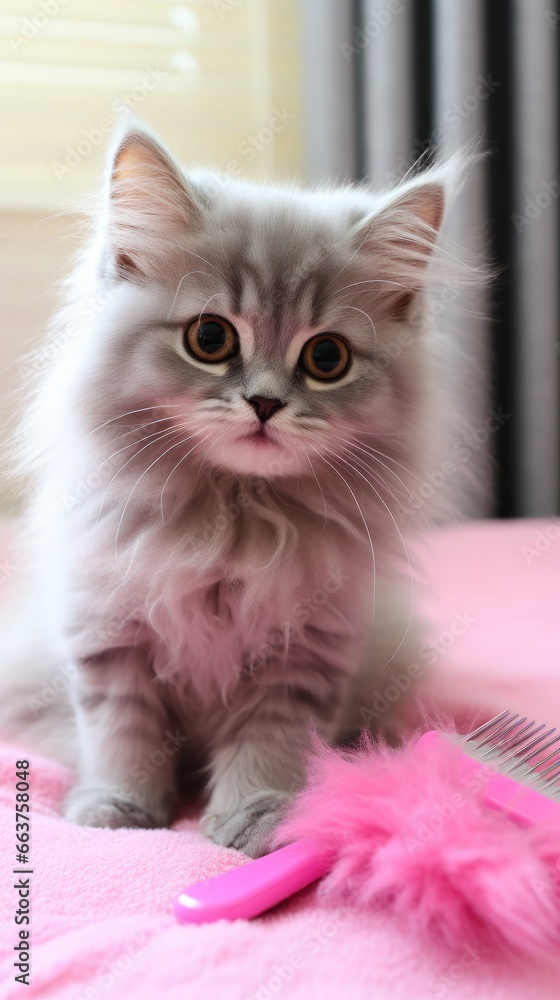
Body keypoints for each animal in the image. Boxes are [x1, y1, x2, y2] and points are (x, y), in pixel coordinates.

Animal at [1, 121, 468, 860]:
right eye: (210, 338)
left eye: (327, 358)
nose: (266, 404)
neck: (235, 517)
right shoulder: (108, 631)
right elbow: (123, 732)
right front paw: (119, 811)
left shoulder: (306, 650)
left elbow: (267, 742)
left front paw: (255, 819)